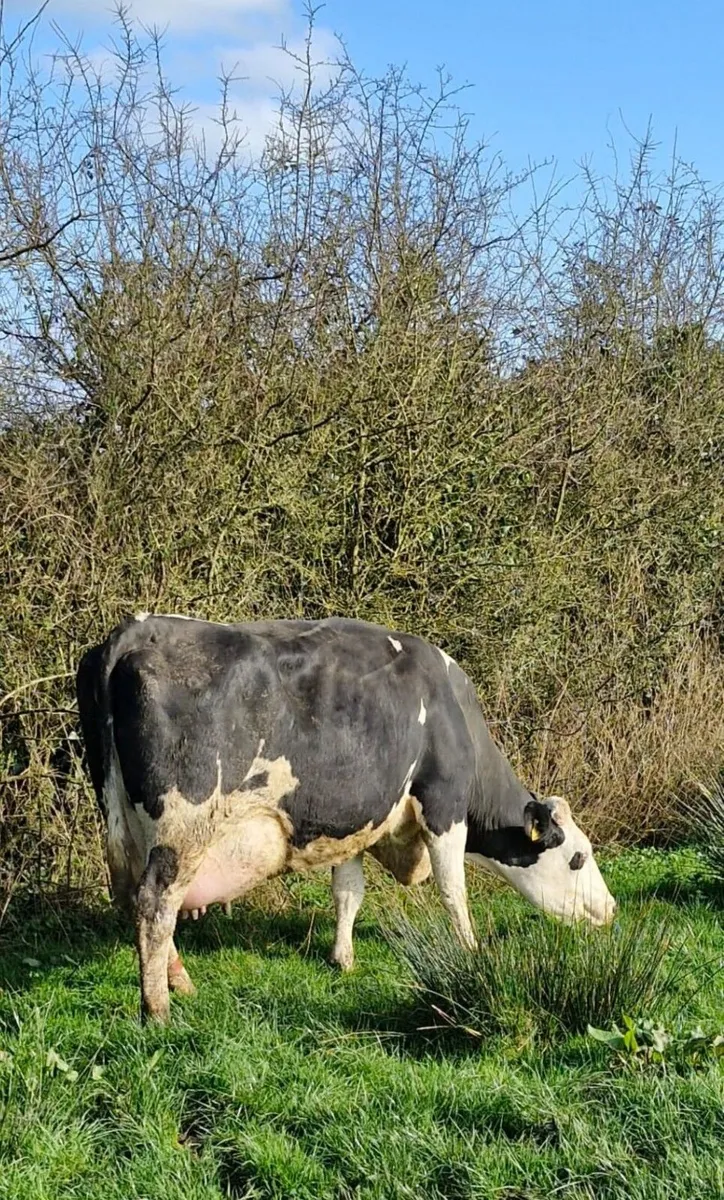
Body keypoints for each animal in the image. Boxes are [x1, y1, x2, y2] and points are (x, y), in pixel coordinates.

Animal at [76, 613, 616, 1022]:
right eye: (578, 856)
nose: (611, 909)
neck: (451, 713)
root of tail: (137, 628)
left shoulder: (351, 821)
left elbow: (348, 892)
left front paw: (343, 958)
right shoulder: (444, 805)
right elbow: (453, 889)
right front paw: (471, 950)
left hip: (129, 825)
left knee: (137, 899)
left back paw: (180, 981)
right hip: (183, 829)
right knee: (155, 904)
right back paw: (158, 1011)